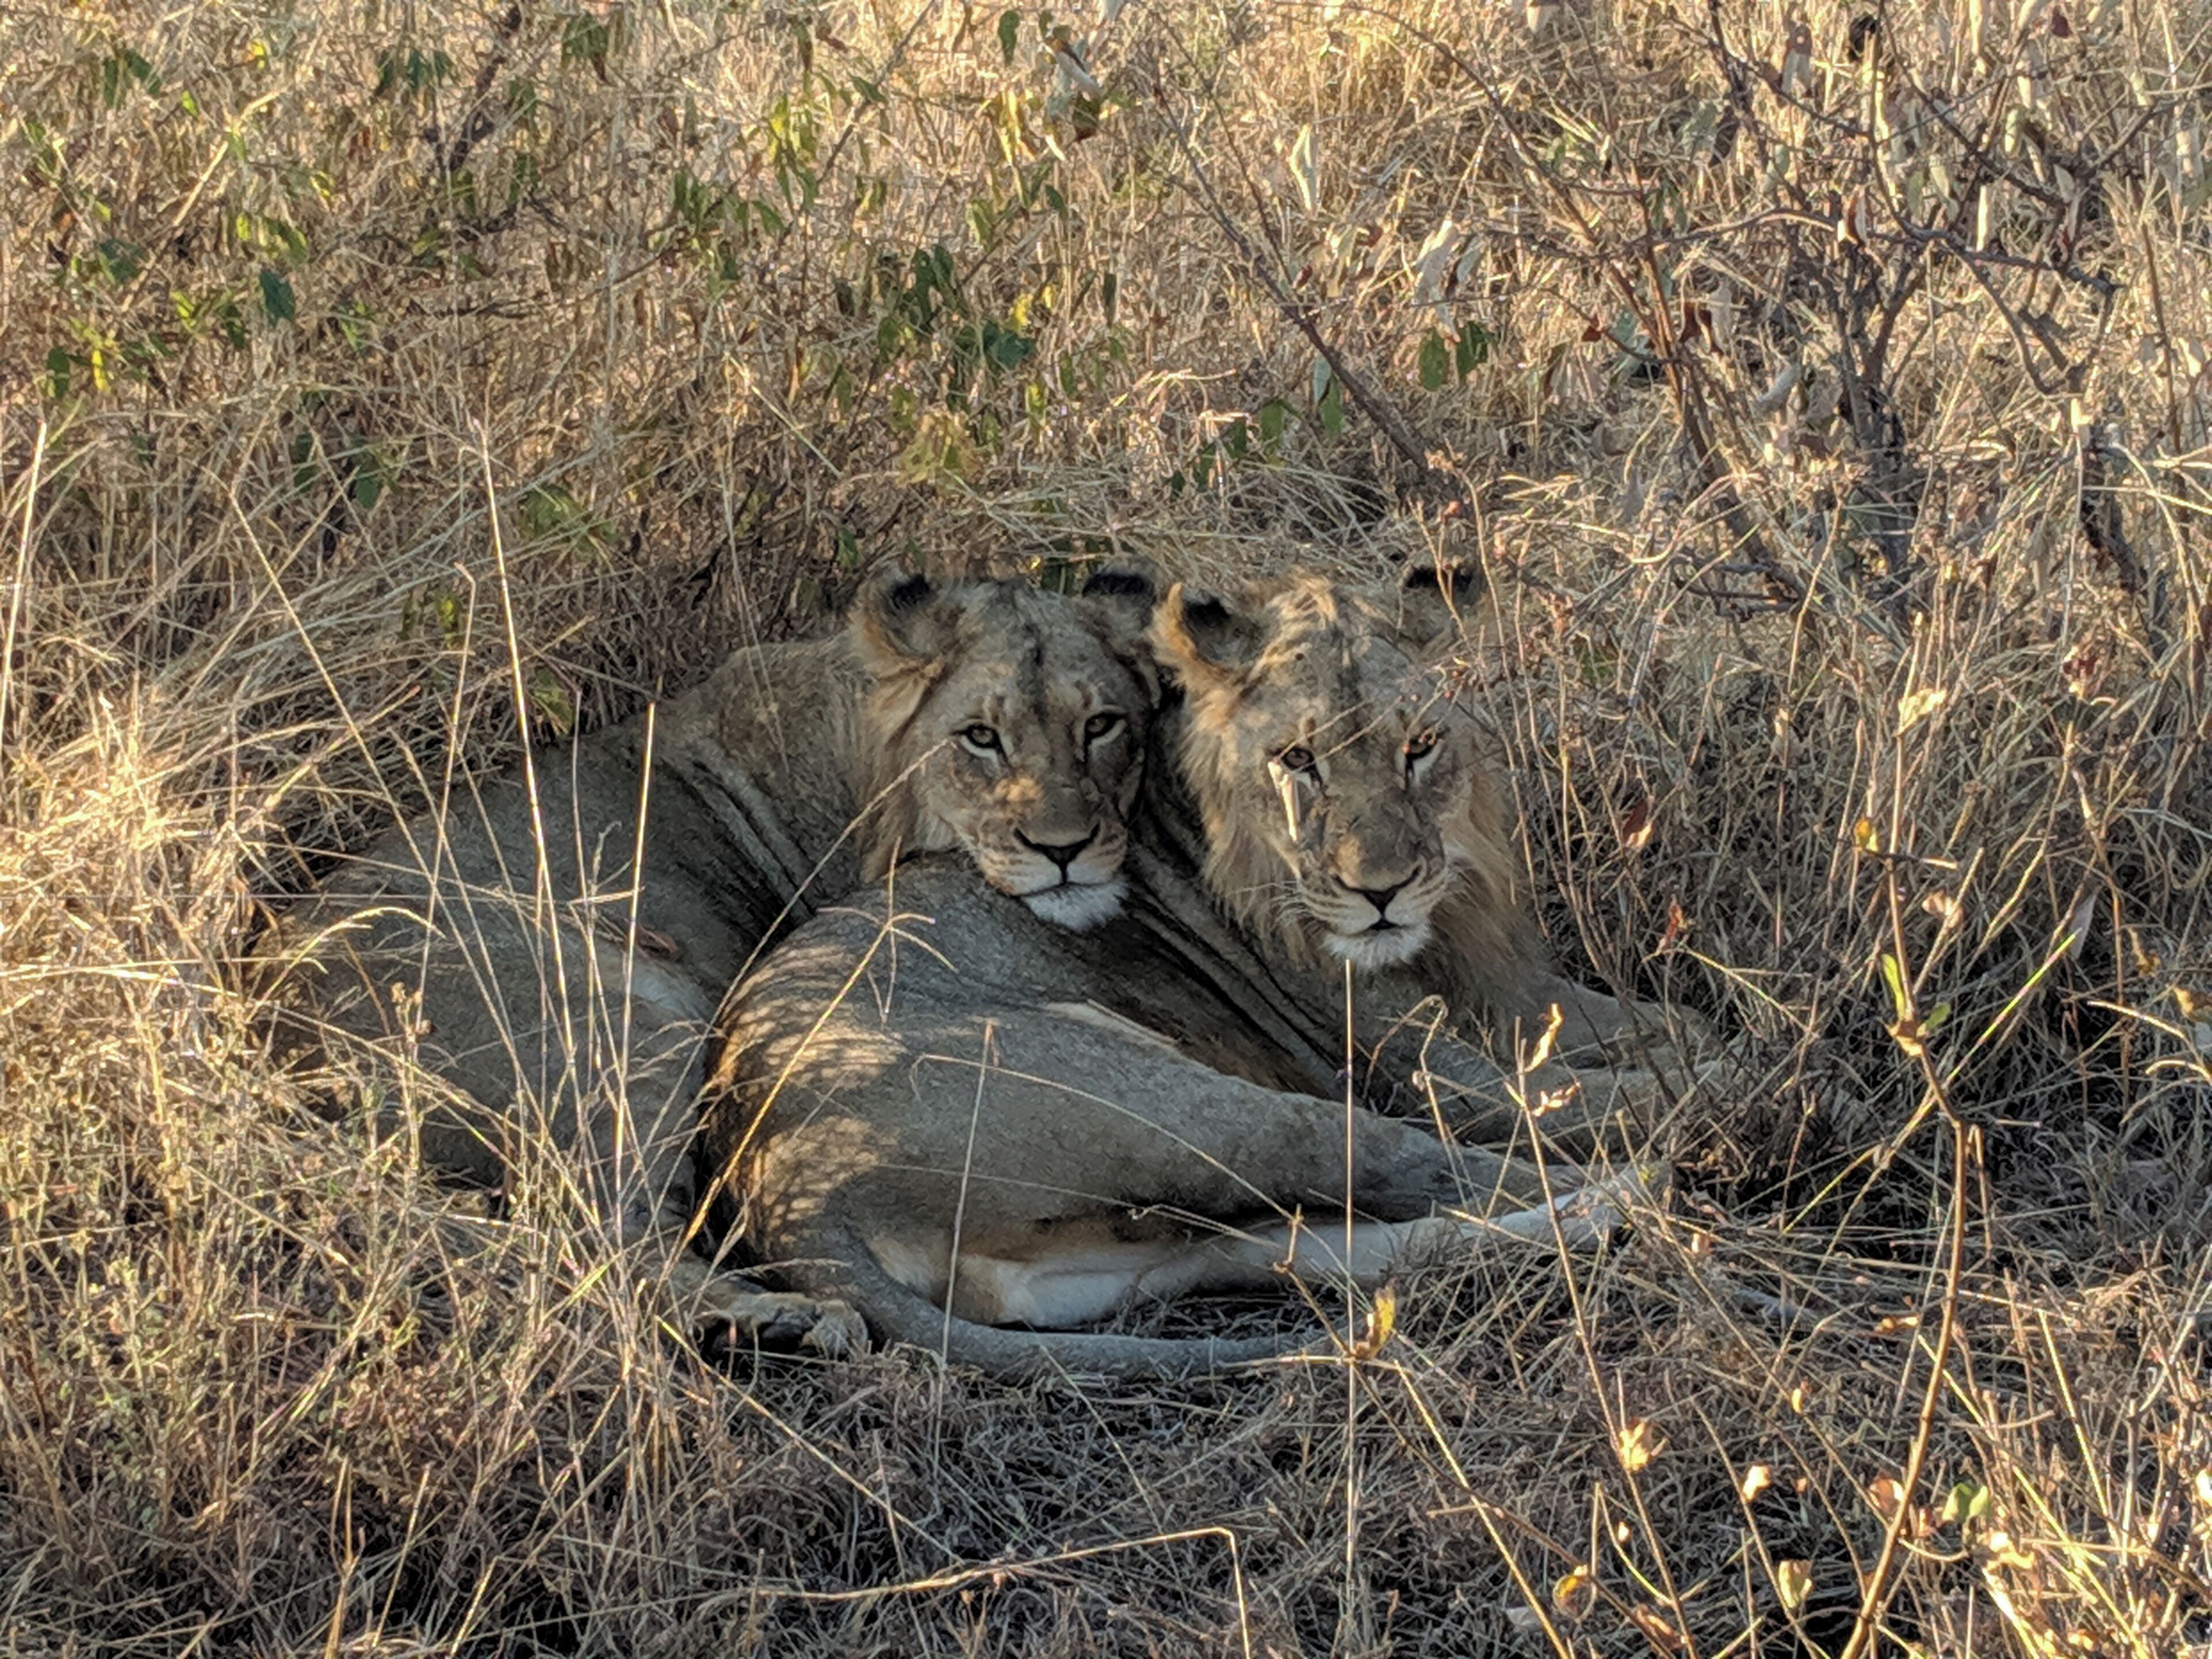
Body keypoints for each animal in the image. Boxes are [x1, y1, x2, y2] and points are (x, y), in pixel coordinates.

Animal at [277, 567, 1157, 1345]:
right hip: (633, 1021)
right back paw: (779, 1319)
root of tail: (278, 1050)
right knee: (603, 1240)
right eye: (981, 738)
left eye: (1102, 725)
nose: (1064, 849)